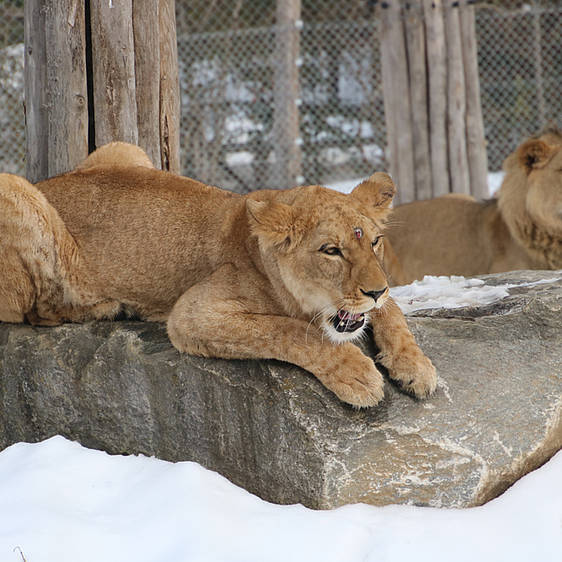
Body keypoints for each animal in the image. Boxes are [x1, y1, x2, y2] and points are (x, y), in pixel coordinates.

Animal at [0, 142, 436, 404]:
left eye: (375, 242)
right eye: (331, 251)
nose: (374, 290)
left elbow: (393, 312)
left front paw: (415, 366)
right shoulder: (191, 314)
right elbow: (290, 331)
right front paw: (357, 374)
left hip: (123, 147)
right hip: (12, 188)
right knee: (32, 310)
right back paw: (109, 306)